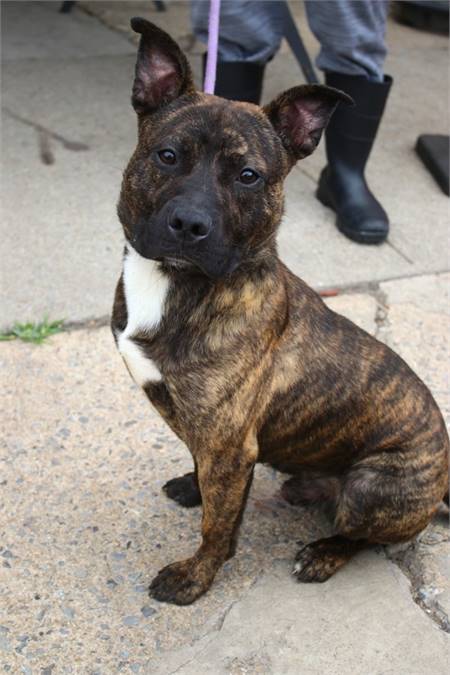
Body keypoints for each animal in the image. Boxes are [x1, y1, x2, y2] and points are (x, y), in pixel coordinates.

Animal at [111, 19, 446, 608]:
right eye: (168, 156)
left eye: (248, 175)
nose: (190, 224)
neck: (179, 284)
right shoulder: (219, 443)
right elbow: (212, 486)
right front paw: (194, 488)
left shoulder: (227, 442)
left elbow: (218, 526)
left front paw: (195, 577)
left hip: (373, 485)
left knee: (365, 536)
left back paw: (323, 554)